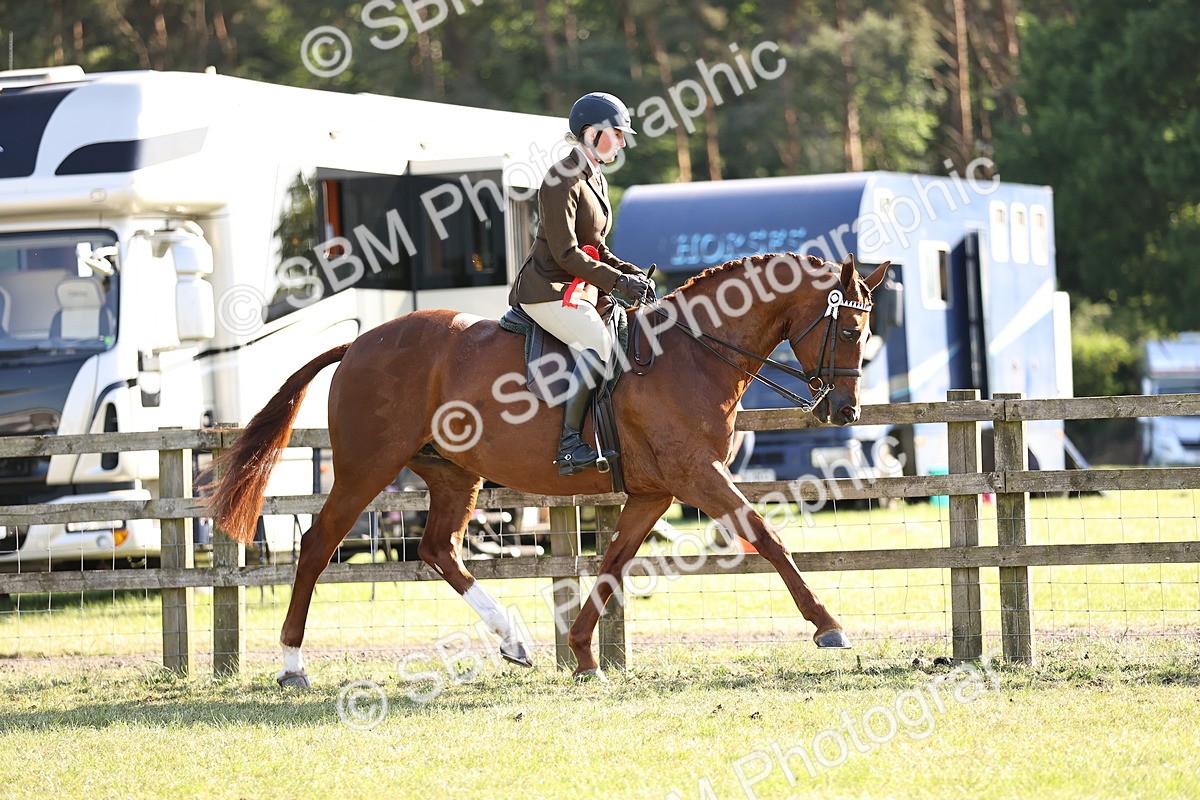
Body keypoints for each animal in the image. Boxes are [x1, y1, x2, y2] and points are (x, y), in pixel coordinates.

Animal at [205, 252, 890, 686]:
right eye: (848, 329)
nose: (846, 409)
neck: (694, 351)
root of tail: (359, 343)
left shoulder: (655, 493)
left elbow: (613, 564)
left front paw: (584, 656)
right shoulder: (698, 476)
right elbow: (767, 538)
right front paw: (828, 626)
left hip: (454, 474)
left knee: (438, 548)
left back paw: (514, 639)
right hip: (364, 470)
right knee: (319, 545)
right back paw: (292, 665)